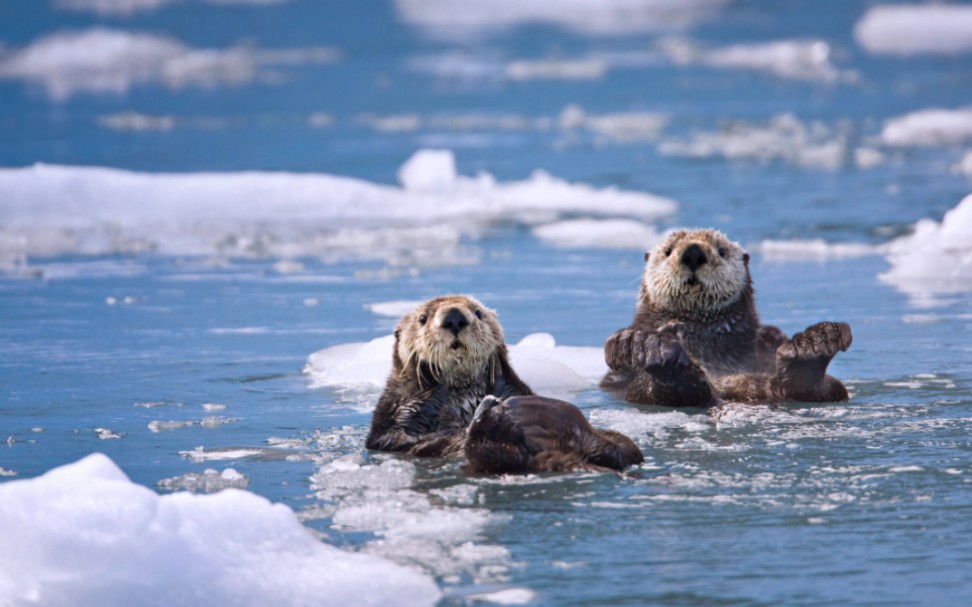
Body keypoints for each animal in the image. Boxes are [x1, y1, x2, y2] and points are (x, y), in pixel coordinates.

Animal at [604, 230, 856, 410]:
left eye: (721, 251)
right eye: (668, 251)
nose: (693, 253)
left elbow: (769, 334)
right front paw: (632, 340)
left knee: (826, 389)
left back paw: (814, 346)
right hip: (642, 391)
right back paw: (658, 354)